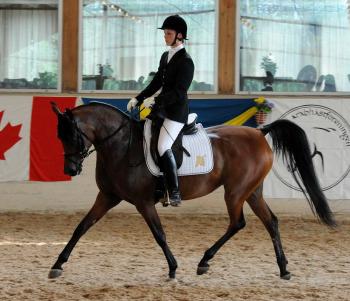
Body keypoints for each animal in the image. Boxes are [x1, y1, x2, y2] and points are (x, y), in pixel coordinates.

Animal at [47, 102, 334, 280]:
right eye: (59, 137)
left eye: (71, 136)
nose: (70, 169)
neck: (121, 145)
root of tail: (259, 131)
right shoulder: (107, 197)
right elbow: (81, 227)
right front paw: (57, 264)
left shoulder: (143, 202)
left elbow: (159, 234)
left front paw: (173, 268)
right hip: (252, 192)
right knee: (270, 222)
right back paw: (283, 269)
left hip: (235, 192)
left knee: (237, 223)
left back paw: (204, 261)